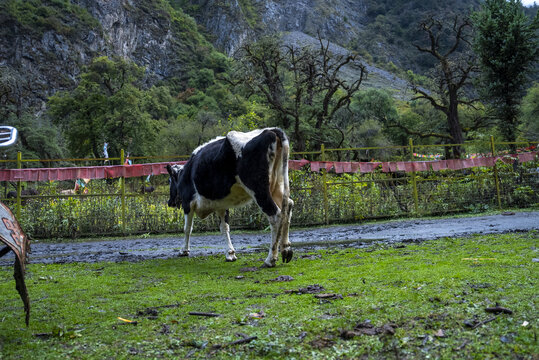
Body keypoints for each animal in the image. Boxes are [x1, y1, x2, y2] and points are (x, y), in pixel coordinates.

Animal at [169, 127, 296, 268]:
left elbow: (187, 228)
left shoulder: (188, 203)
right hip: (277, 185)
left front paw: (184, 251)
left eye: (170, 182)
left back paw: (270, 259)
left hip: (259, 189)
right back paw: (286, 250)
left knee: (275, 215)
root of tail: (270, 130)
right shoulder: (221, 205)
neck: (184, 173)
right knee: (288, 207)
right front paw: (230, 254)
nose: (169, 202)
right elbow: (224, 228)